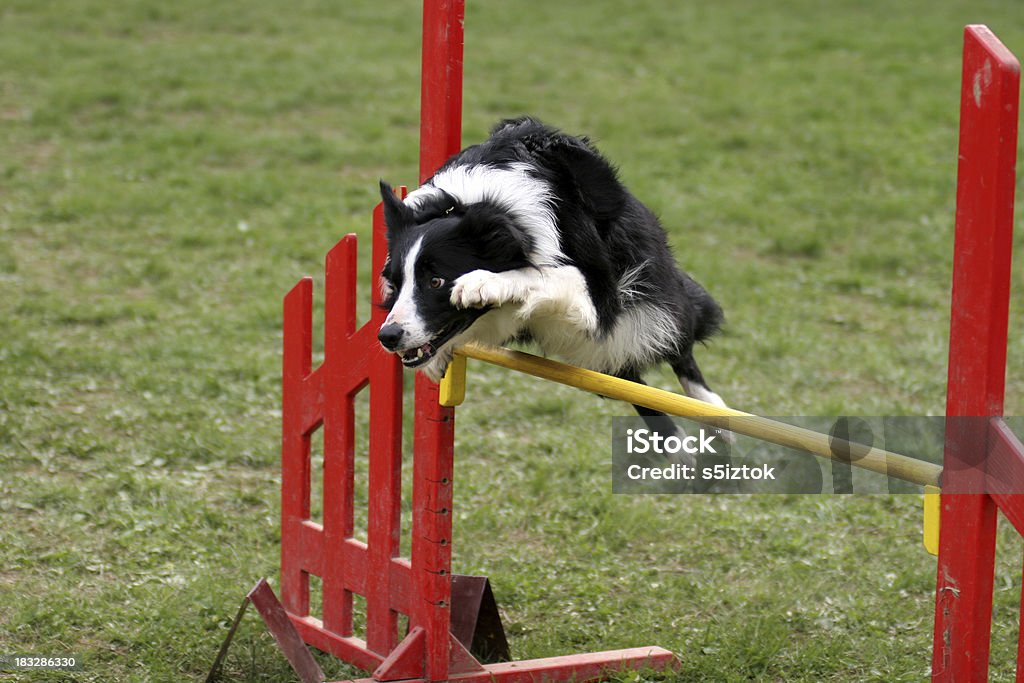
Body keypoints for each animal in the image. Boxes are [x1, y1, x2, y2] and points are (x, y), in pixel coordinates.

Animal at [378, 117, 729, 417]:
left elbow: (543, 275)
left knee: (679, 348)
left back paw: (715, 414)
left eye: (436, 281)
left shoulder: (593, 299)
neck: (469, 204)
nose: (387, 336)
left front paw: (483, 283)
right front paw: (436, 359)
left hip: (643, 315)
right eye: (396, 283)